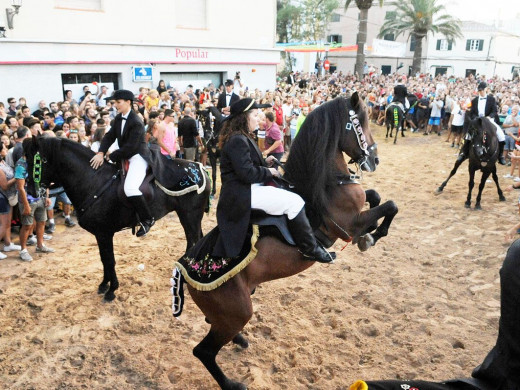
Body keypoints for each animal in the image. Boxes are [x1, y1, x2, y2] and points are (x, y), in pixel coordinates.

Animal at [22, 137, 209, 302]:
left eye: (38, 161)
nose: (29, 190)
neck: (93, 181)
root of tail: (199, 167)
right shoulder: (100, 234)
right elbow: (104, 259)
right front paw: (104, 285)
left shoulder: (104, 233)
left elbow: (109, 260)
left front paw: (111, 290)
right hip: (189, 216)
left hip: (189, 215)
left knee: (193, 241)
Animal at [179, 95, 398, 390]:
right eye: (359, 124)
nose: (374, 159)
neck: (329, 184)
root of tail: (184, 268)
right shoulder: (349, 225)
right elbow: (390, 205)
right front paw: (372, 236)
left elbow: (376, 197)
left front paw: (372, 231)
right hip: (237, 312)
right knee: (203, 351)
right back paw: (233, 383)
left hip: (231, 311)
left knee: (211, 327)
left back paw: (240, 340)